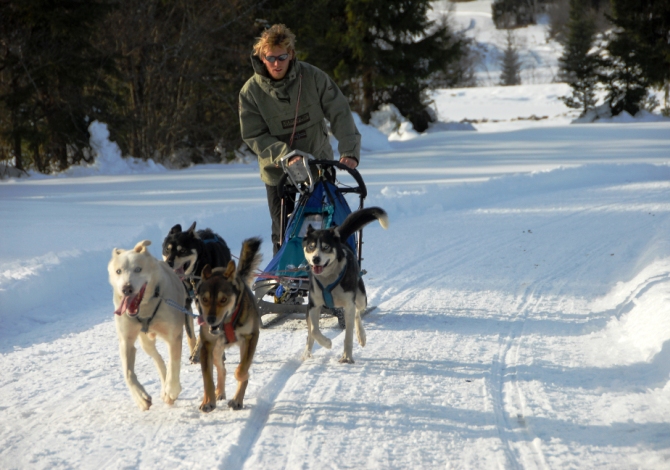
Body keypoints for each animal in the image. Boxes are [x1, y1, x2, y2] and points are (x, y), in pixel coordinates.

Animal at [106, 241, 193, 410]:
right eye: (118, 271)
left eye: (138, 269)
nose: (126, 288)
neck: (146, 307)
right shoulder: (126, 341)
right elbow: (128, 373)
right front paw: (141, 398)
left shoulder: (174, 337)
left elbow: (174, 364)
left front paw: (172, 390)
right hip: (145, 342)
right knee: (159, 361)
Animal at [164, 222, 232, 362]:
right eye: (167, 250)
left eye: (182, 251)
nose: (168, 263)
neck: (193, 275)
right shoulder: (185, 305)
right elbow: (190, 334)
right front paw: (194, 352)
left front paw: (197, 352)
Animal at [194, 237, 262, 414]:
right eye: (204, 299)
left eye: (223, 299)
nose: (210, 319)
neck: (227, 323)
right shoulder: (207, 346)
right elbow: (207, 379)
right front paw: (208, 401)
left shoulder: (251, 337)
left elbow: (241, 370)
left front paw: (242, 378)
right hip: (217, 350)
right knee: (221, 369)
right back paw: (219, 392)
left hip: (241, 346)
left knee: (239, 368)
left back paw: (237, 400)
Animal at [304, 207, 392, 366]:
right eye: (311, 247)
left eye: (326, 247)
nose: (315, 259)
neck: (328, 279)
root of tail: (341, 240)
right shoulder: (313, 306)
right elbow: (314, 330)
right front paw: (326, 343)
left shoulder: (349, 305)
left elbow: (348, 335)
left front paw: (346, 357)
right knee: (310, 333)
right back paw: (306, 353)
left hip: (360, 298)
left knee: (357, 313)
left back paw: (361, 336)